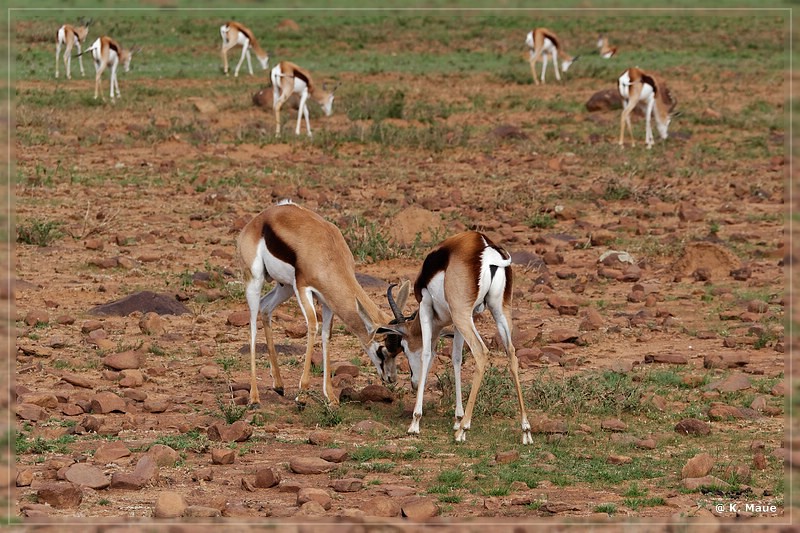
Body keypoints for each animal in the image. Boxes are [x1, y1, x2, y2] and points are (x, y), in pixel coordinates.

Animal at [236, 202, 400, 406]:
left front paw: (330, 397)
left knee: (265, 307)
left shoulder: (326, 299)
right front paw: (302, 396)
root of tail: (259, 218)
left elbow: (326, 335)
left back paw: (279, 385)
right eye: (383, 350)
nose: (391, 379)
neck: (328, 252)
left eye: (400, 351)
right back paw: (254, 397)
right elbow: (313, 325)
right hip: (256, 280)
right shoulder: (303, 288)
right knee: (252, 325)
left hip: (285, 287)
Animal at [378, 231, 536, 442]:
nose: (413, 383)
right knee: (511, 354)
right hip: (497, 311)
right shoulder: (458, 322)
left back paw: (464, 430)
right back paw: (525, 430)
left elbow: (426, 354)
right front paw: (457, 419)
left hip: (463, 314)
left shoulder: (426, 306)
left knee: (481, 352)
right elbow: (456, 359)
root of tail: (485, 247)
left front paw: (415, 422)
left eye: (403, 347)